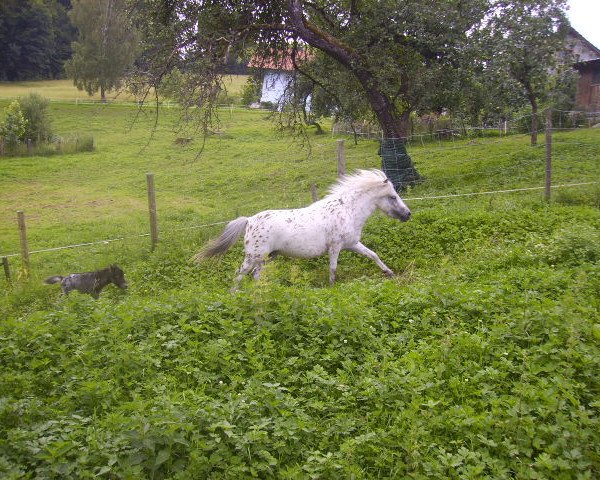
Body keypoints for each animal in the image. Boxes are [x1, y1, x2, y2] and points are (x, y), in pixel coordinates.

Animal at [198, 170, 412, 288]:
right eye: (392, 197)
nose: (407, 214)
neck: (347, 211)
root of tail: (249, 220)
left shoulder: (352, 244)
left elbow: (373, 255)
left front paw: (390, 273)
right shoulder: (335, 247)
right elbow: (333, 269)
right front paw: (332, 287)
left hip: (266, 257)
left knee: (256, 276)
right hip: (253, 256)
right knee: (240, 275)